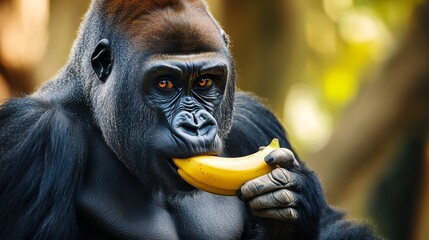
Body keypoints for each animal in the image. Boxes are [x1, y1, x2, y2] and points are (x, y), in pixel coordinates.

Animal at [0, 0, 378, 239]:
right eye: (164, 83)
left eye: (205, 82)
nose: (196, 124)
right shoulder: (33, 136)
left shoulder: (251, 118)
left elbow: (329, 225)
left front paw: (297, 204)